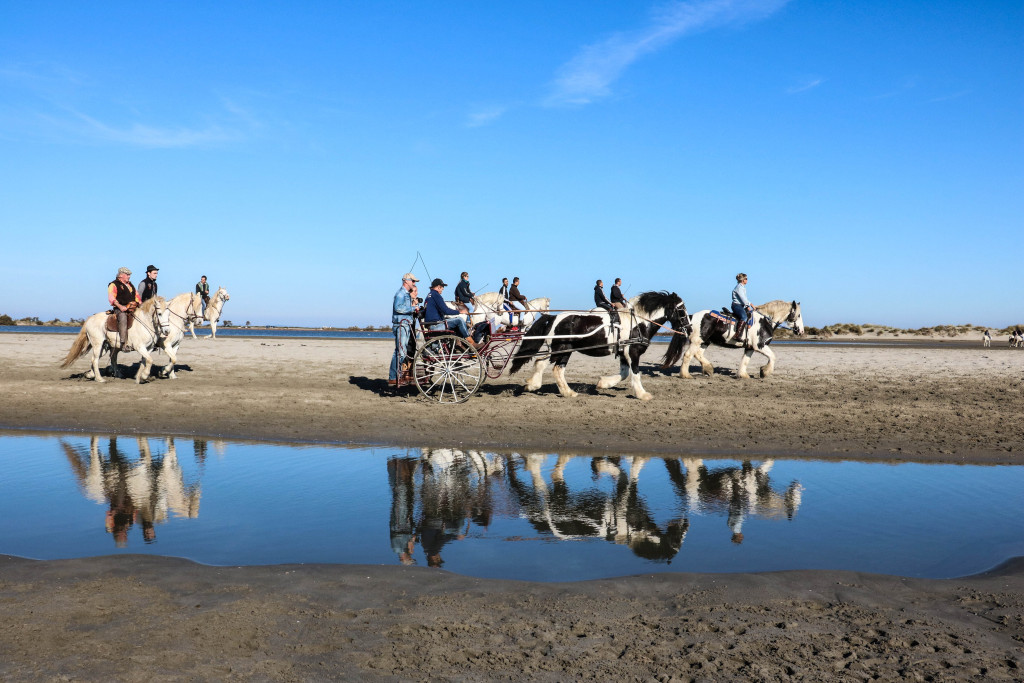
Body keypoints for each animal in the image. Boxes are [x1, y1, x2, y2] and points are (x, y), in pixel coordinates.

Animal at [509, 290, 692, 401]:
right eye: (681, 309)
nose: (689, 329)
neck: (637, 323)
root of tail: (554, 317)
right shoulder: (633, 352)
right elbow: (635, 373)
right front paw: (642, 394)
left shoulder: (624, 353)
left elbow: (624, 374)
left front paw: (603, 383)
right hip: (559, 349)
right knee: (541, 363)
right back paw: (533, 385)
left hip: (566, 351)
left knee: (557, 370)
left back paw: (567, 392)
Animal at [663, 301, 806, 378]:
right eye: (798, 315)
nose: (801, 331)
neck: (765, 321)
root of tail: (692, 317)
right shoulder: (760, 345)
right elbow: (773, 356)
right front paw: (764, 372)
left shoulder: (750, 348)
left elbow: (745, 361)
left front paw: (743, 375)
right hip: (696, 341)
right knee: (687, 355)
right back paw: (685, 375)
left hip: (704, 342)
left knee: (698, 354)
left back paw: (708, 369)